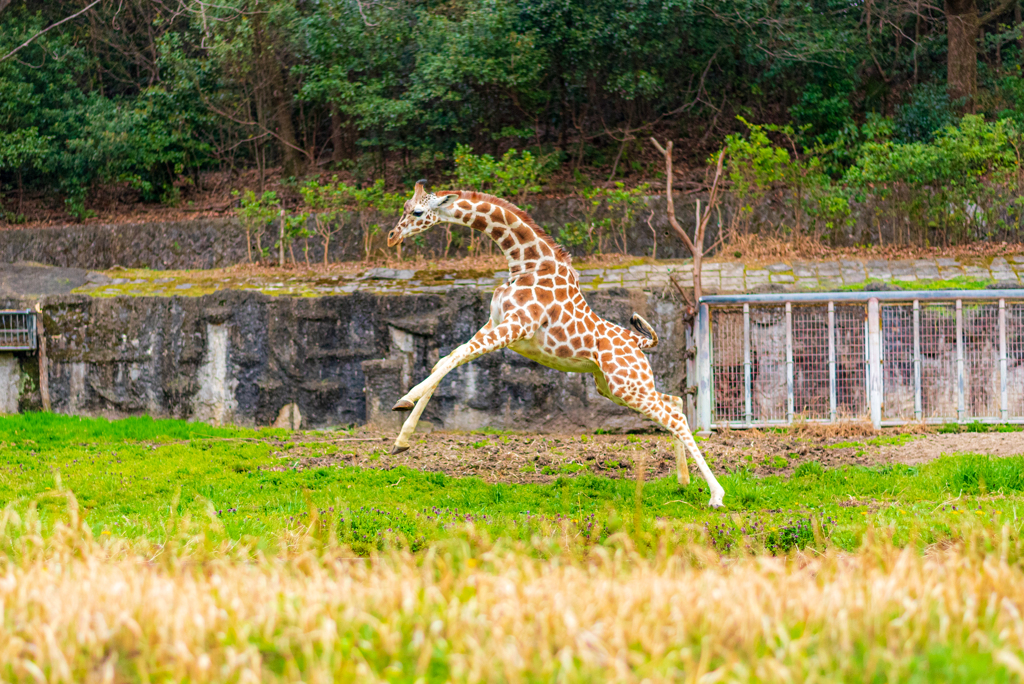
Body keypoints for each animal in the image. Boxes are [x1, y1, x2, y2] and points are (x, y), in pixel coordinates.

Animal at [385, 181, 729, 507]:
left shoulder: (516, 327)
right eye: (404, 207)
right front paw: (401, 439)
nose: (391, 237)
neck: (525, 263)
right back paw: (683, 481)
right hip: (616, 386)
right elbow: (445, 361)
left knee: (675, 416)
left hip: (627, 385)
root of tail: (638, 341)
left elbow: (450, 360)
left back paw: (716, 495)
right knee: (674, 404)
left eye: (417, 212)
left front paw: (404, 401)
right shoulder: (494, 324)